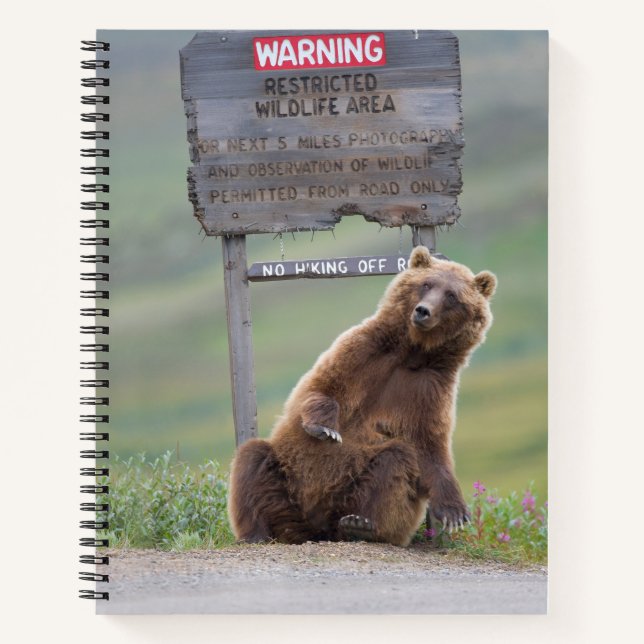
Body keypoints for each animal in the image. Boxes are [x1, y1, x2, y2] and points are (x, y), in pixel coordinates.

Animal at [228, 245, 496, 547]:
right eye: (426, 284)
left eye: (452, 296)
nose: (423, 311)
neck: (411, 352)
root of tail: (316, 531)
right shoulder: (364, 351)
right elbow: (321, 387)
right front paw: (326, 428)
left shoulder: (429, 386)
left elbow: (429, 443)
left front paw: (454, 511)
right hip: (287, 475)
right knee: (253, 460)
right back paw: (255, 533)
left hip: (352, 490)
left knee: (395, 460)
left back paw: (361, 524)